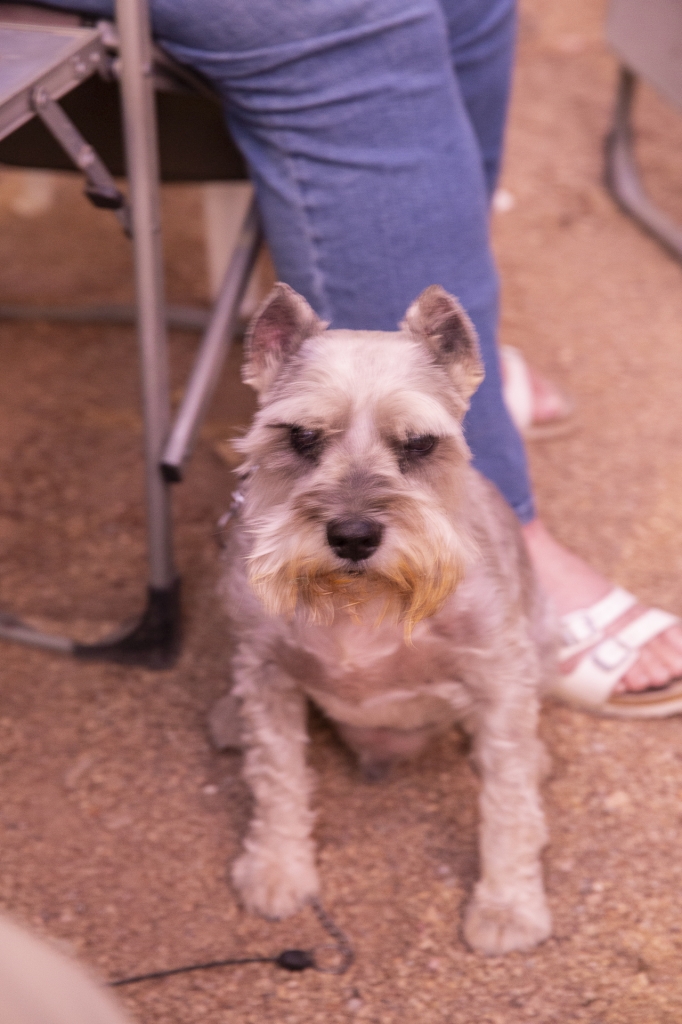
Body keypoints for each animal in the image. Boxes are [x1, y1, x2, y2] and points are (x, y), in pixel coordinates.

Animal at [220, 278, 557, 950]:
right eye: (300, 437)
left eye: (420, 443)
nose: (352, 535)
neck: (360, 601)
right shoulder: (264, 670)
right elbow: (277, 776)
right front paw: (277, 868)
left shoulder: (500, 673)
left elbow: (507, 800)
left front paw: (508, 906)